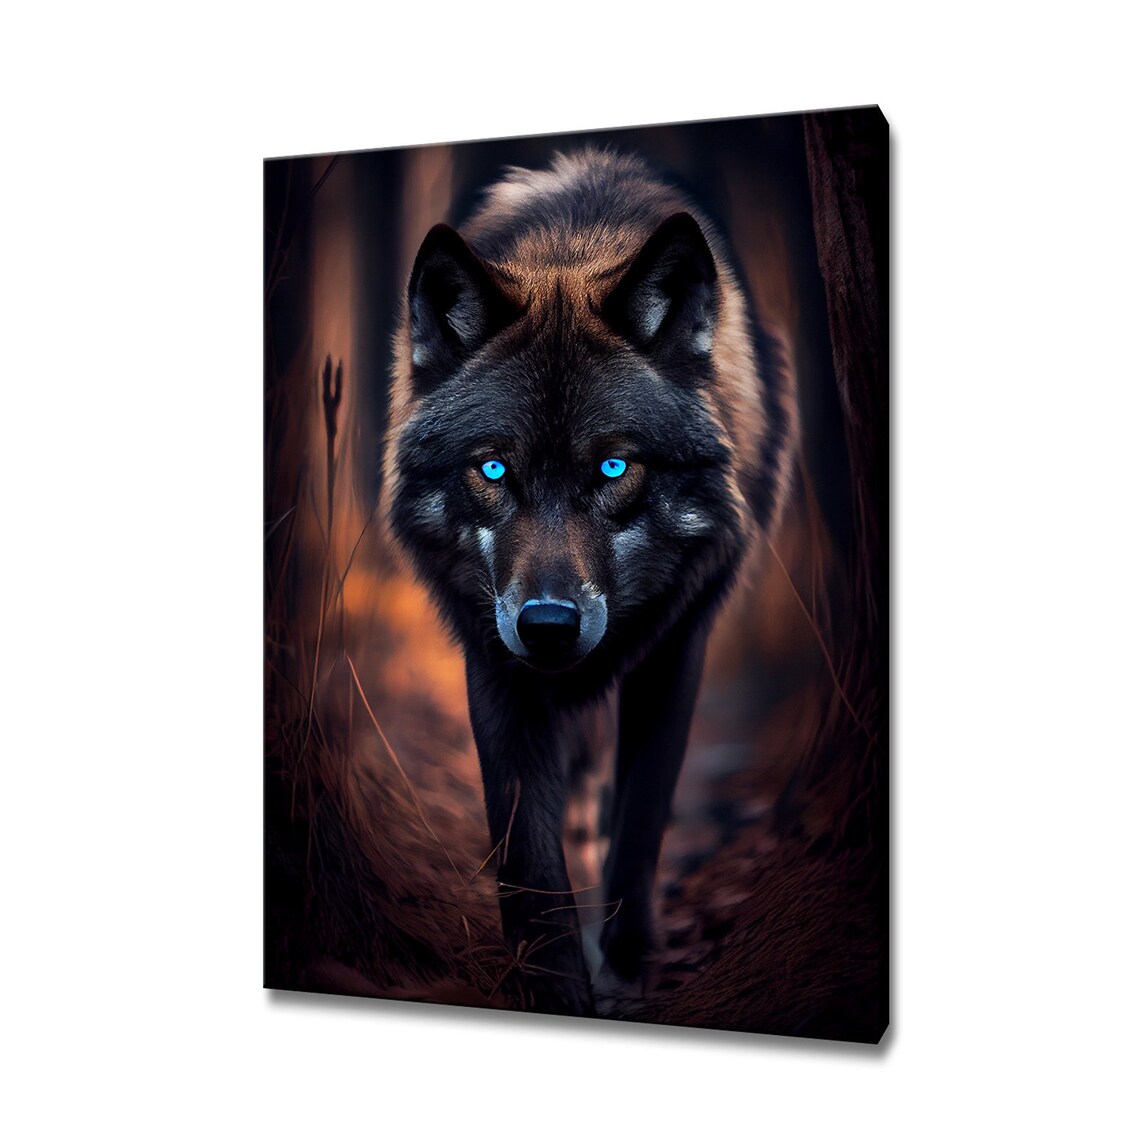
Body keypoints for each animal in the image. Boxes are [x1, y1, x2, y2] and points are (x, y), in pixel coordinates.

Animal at [383, 149, 797, 1016]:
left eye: (613, 467)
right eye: (492, 470)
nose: (548, 625)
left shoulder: (675, 650)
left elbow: (640, 819)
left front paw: (627, 971)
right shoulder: (492, 660)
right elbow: (526, 852)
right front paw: (552, 987)